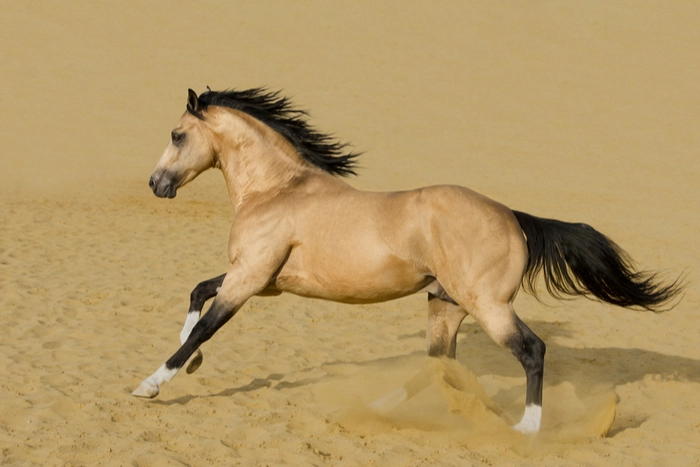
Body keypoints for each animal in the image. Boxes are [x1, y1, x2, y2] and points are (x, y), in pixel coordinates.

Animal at [132, 87, 683, 434]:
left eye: (178, 135)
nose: (156, 184)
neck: (278, 189)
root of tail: (513, 217)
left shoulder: (249, 279)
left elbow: (206, 325)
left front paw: (152, 384)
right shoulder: (261, 279)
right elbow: (197, 295)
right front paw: (191, 362)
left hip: (488, 306)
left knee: (532, 350)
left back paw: (526, 428)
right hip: (445, 304)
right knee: (437, 365)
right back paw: (378, 407)